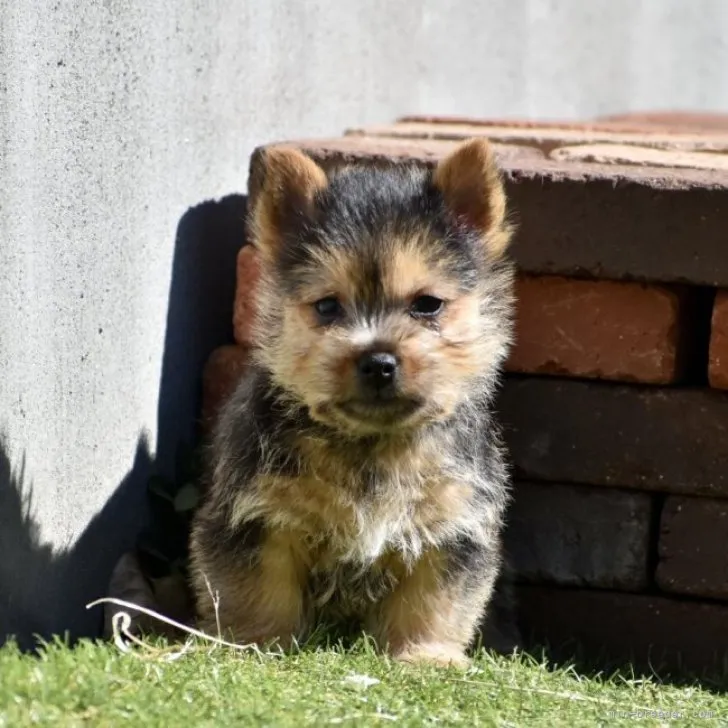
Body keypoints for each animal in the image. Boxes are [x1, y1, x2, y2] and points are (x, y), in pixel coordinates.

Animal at [189, 136, 516, 664]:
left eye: (428, 304)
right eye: (327, 306)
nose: (379, 362)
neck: (370, 446)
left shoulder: (452, 525)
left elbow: (433, 602)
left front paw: (424, 657)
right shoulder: (256, 517)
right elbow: (256, 590)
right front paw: (255, 645)